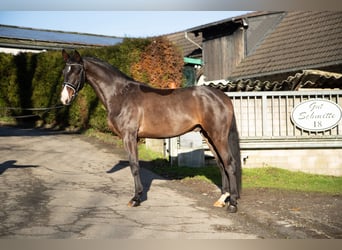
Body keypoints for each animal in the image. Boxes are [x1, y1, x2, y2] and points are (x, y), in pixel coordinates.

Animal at [60, 50, 242, 213]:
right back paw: (222, 199)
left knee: (229, 163)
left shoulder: (129, 136)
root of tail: (223, 97)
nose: (64, 99)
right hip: (208, 136)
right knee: (221, 164)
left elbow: (134, 166)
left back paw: (232, 204)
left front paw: (136, 199)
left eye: (77, 71)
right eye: (64, 72)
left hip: (218, 136)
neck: (121, 94)